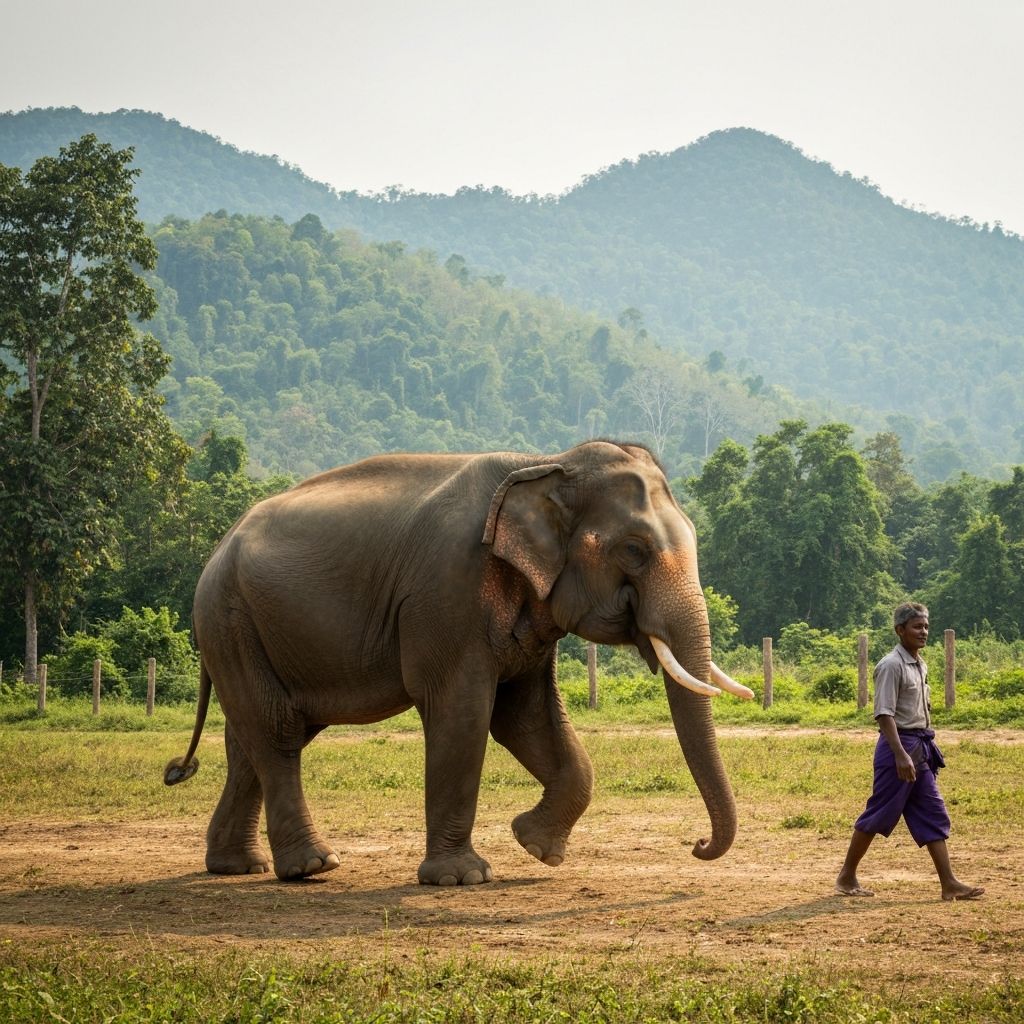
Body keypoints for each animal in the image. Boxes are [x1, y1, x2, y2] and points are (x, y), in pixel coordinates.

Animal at [165, 440, 752, 885]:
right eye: (634, 550)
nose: (697, 843)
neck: (547, 460)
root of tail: (216, 549)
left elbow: (526, 717)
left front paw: (537, 847)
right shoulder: (448, 593)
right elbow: (464, 712)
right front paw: (462, 877)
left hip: (252, 631)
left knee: (254, 737)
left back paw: (237, 867)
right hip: (231, 619)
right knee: (277, 732)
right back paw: (313, 867)